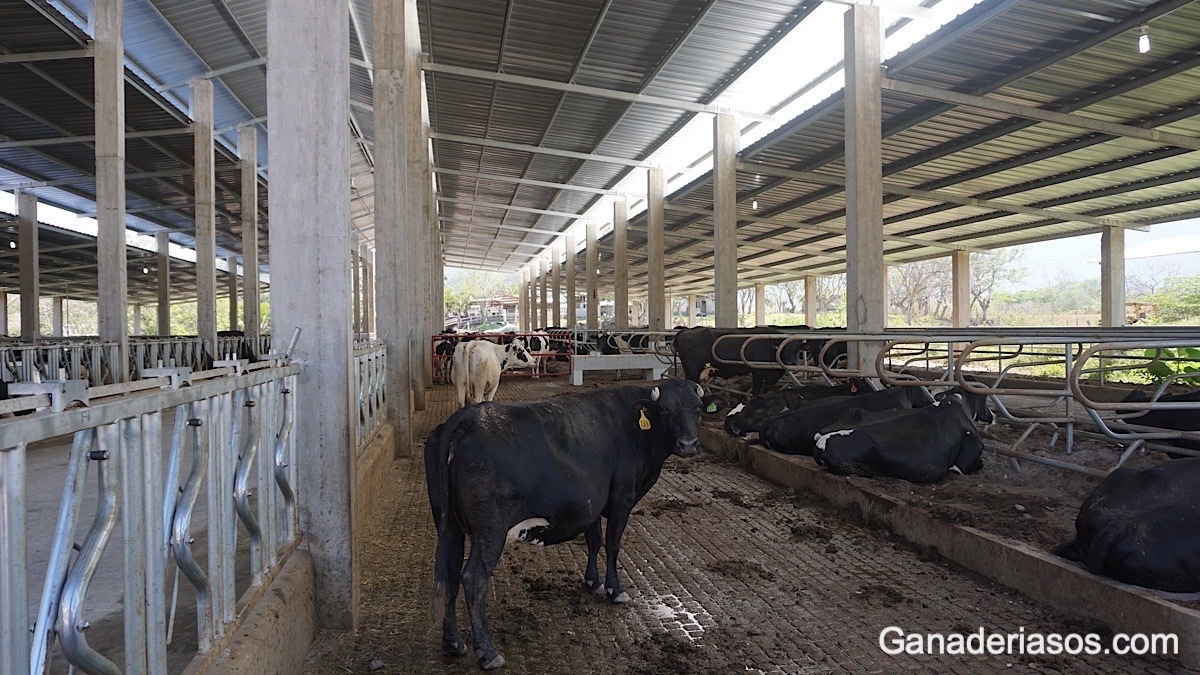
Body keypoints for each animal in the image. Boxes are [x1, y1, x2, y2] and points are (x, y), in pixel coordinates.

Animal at [424, 379, 700, 667]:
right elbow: (613, 544)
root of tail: (467, 417)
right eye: (665, 409)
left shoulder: (592, 503)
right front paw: (615, 590)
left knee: (449, 573)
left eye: (698, 408)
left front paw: (592, 582)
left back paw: (453, 643)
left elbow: (594, 541)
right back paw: (488, 653)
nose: (689, 444)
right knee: (473, 579)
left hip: (449, 524)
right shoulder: (622, 498)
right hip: (490, 530)